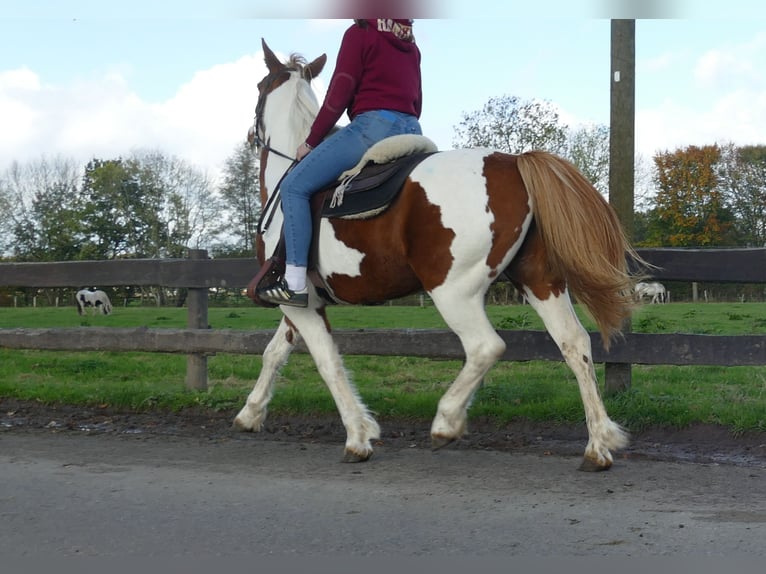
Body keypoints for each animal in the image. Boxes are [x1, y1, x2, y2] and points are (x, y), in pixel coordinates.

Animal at [234, 39, 648, 472]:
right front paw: (251, 413)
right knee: (574, 343)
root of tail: (512, 162)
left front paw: (358, 437)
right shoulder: (304, 304)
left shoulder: (298, 304)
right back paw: (598, 444)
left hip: (453, 292)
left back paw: (447, 421)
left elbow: (326, 363)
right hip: (540, 281)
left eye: (260, 85)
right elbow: (275, 352)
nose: (249, 134)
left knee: (486, 347)